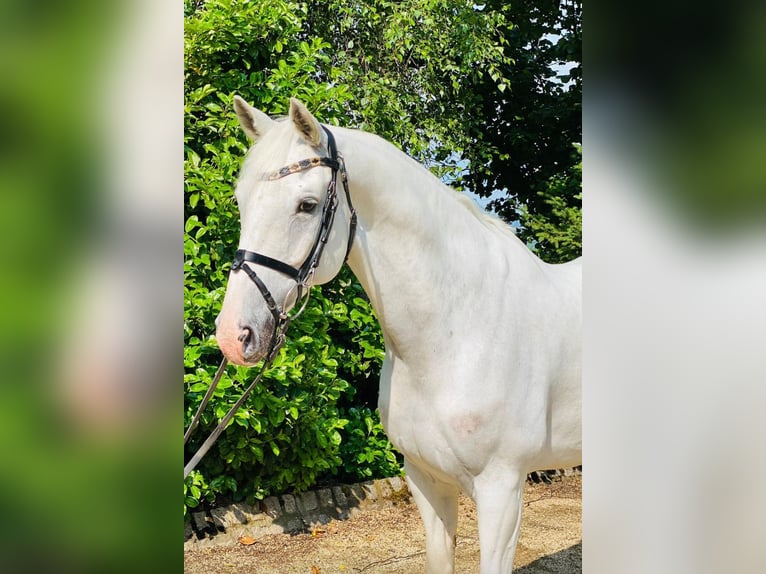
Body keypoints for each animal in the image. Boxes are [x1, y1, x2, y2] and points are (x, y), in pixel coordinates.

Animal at [216, 97, 584, 572]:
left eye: (307, 205)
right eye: (241, 200)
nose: (233, 335)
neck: (458, 331)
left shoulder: (502, 491)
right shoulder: (425, 481)